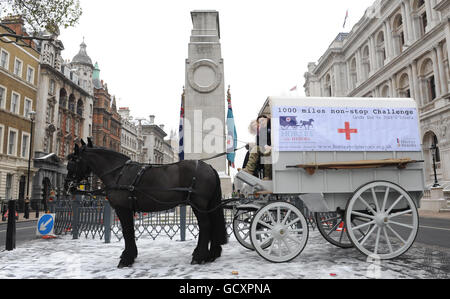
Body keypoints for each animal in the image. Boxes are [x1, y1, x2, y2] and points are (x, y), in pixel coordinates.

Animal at [64, 139, 229, 268]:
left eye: (72, 161)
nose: (68, 186)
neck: (118, 173)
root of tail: (209, 167)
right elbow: (130, 231)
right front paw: (130, 255)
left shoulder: (122, 209)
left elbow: (127, 231)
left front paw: (127, 258)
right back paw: (211, 254)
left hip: (198, 205)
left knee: (206, 226)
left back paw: (199, 256)